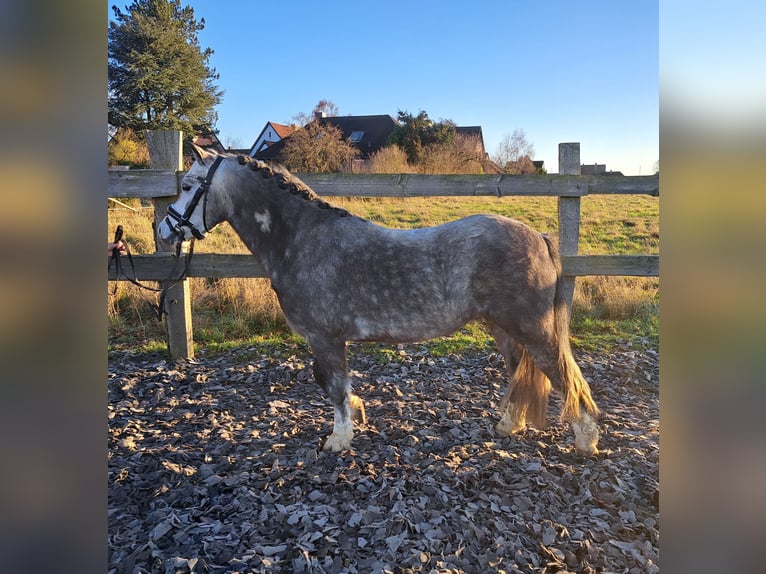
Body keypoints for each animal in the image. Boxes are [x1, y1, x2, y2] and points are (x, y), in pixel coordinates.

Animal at [158, 145, 600, 456]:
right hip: (503, 328)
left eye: (188, 186)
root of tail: (539, 237)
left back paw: (586, 441)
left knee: (564, 375)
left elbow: (334, 386)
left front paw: (339, 438)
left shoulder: (326, 338)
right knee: (519, 371)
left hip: (533, 329)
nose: (163, 229)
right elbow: (331, 383)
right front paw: (357, 413)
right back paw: (509, 426)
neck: (303, 238)